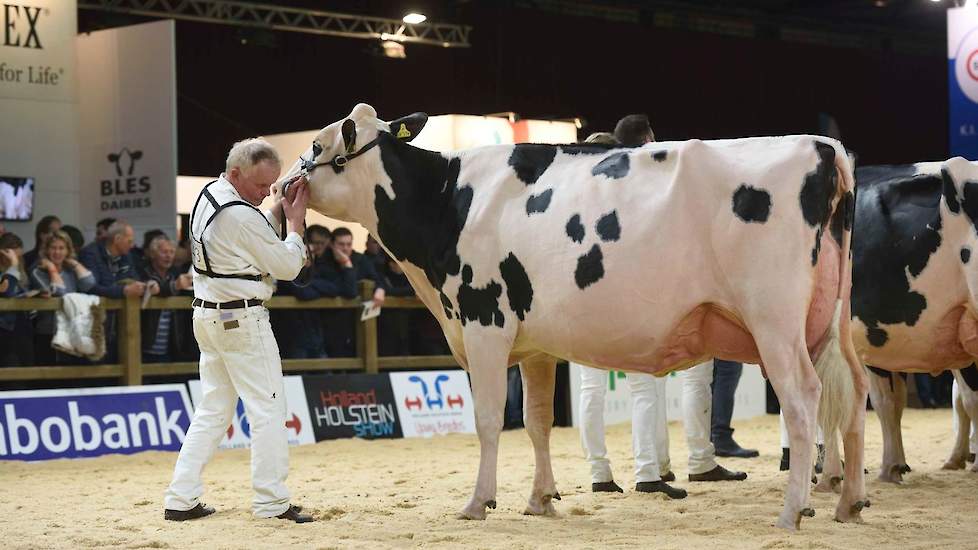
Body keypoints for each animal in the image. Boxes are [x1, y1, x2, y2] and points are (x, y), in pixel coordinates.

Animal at [286, 103, 864, 532]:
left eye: (315, 148)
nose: (282, 185)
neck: (448, 200)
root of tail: (823, 146)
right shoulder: (535, 344)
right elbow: (537, 420)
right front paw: (540, 499)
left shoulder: (484, 323)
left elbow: (490, 418)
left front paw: (478, 502)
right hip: (832, 323)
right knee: (854, 393)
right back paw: (849, 502)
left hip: (774, 321)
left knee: (803, 397)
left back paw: (793, 511)